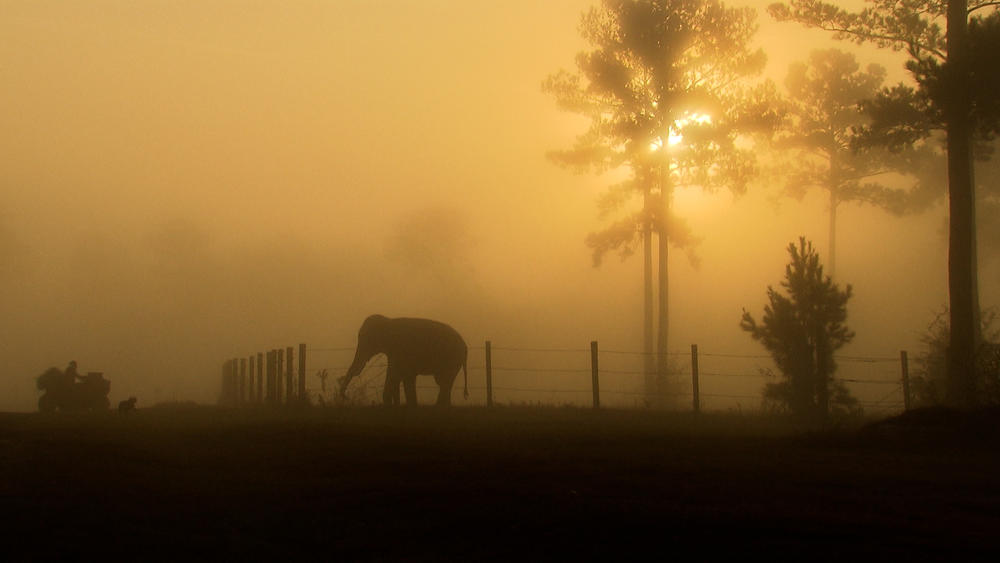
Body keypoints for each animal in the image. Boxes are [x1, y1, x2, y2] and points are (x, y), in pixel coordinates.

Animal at [340, 316, 468, 408]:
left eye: (365, 338)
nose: (346, 398)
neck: (388, 321)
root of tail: (465, 346)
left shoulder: (401, 350)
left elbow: (397, 374)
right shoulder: (395, 353)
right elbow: (401, 376)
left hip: (452, 359)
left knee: (444, 382)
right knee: (444, 383)